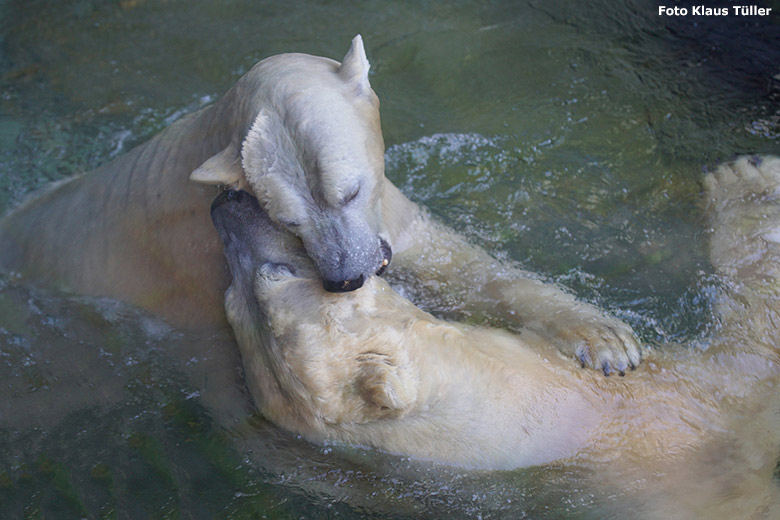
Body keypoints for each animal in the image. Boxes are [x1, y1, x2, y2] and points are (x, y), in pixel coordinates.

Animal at [0, 34, 640, 372]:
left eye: (349, 189)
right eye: (286, 218)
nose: (346, 278)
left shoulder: (389, 217)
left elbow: (464, 267)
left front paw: (608, 342)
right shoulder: (196, 267)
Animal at [210, 154, 780, 476]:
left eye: (234, 301)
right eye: (273, 277)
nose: (226, 201)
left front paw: (603, 339)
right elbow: (759, 331)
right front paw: (747, 181)